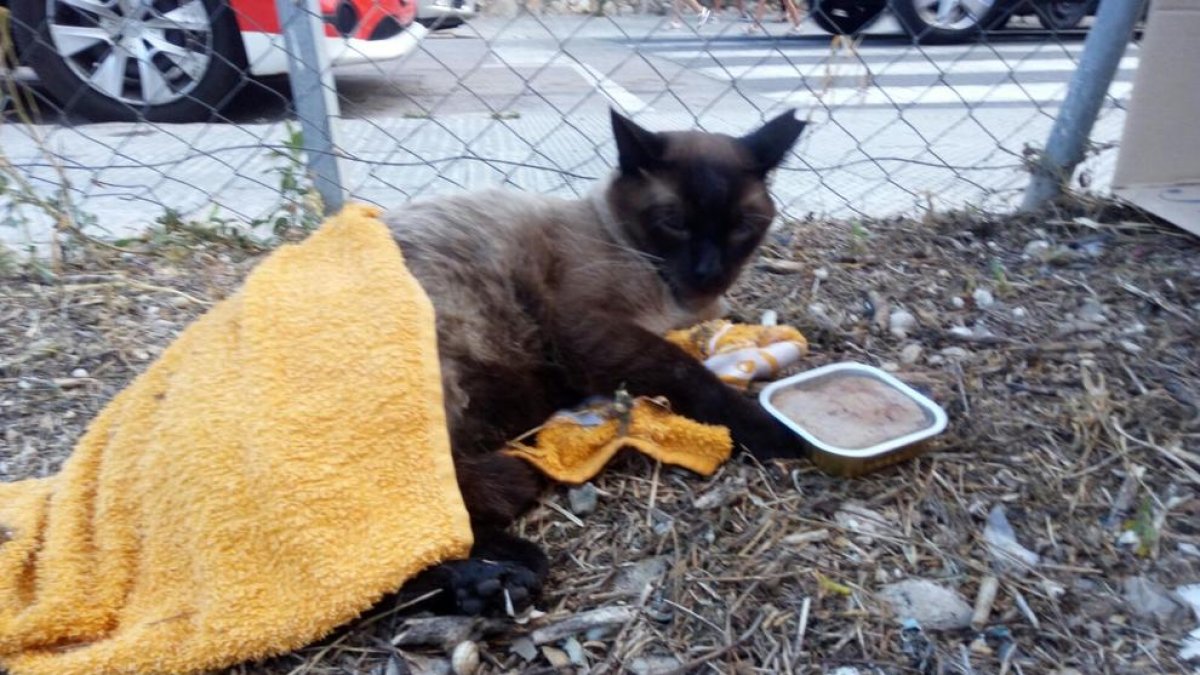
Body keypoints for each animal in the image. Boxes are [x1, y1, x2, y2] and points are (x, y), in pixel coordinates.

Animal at [388, 107, 811, 612]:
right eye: (675, 222)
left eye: (742, 225)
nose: (708, 271)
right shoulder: (595, 332)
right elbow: (686, 371)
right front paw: (775, 432)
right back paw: (493, 581)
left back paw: (495, 579)